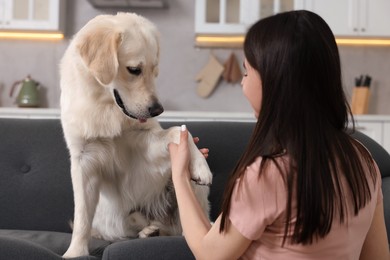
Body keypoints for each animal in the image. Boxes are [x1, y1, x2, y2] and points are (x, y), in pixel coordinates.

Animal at [59, 12, 212, 258]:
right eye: (134, 70)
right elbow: (82, 217)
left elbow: (178, 131)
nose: (157, 110)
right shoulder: (84, 159)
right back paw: (150, 231)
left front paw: (200, 164)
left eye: (154, 70)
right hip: (113, 220)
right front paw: (75, 252)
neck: (107, 109)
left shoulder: (144, 143)